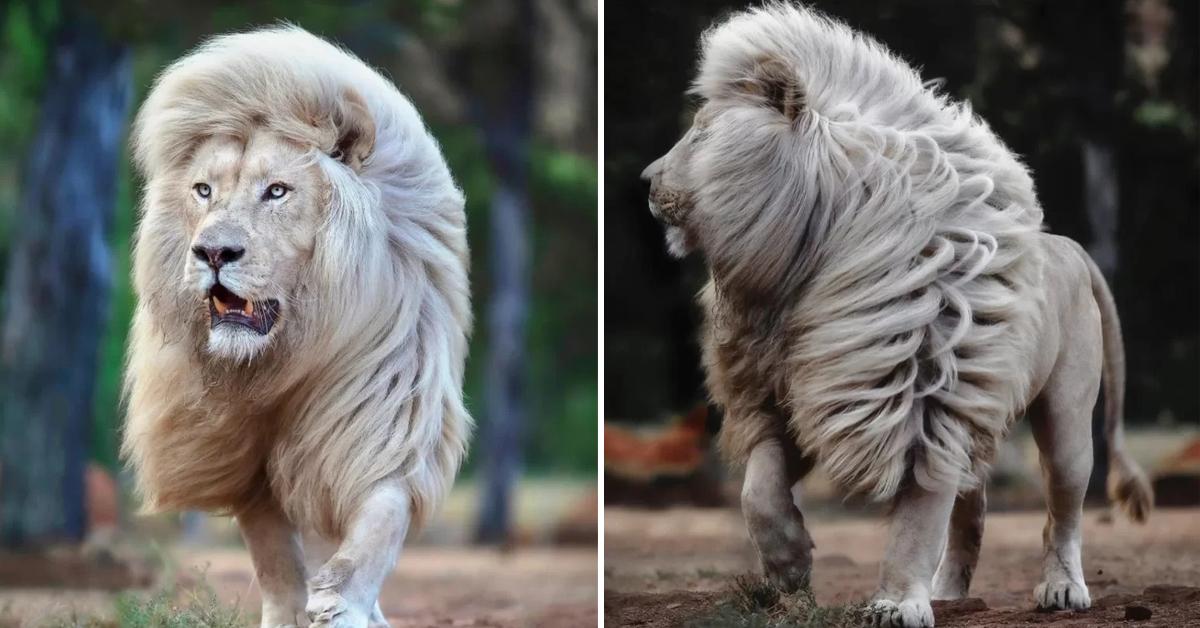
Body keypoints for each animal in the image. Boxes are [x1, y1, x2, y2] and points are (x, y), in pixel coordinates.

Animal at [122, 27, 471, 627]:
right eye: (204, 190)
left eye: (278, 191)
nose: (213, 252)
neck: (287, 354)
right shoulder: (242, 461)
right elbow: (277, 563)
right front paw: (293, 611)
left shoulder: (387, 420)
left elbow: (376, 528)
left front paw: (341, 605)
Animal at [641, 5, 1153, 627]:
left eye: (702, 132)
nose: (646, 180)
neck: (800, 272)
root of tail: (1071, 247)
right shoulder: (788, 395)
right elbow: (757, 494)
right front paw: (790, 570)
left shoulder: (926, 403)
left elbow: (916, 521)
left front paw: (896, 602)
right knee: (974, 508)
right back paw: (949, 591)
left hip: (1067, 418)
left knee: (1063, 509)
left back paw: (1061, 589)